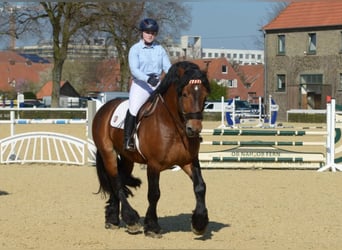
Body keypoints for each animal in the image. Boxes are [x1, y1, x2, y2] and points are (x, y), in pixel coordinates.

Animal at [93, 60, 211, 238]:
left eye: (204, 96)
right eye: (184, 94)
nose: (194, 129)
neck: (173, 125)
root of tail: (104, 108)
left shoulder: (189, 161)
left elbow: (200, 187)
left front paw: (199, 223)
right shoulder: (154, 165)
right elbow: (154, 194)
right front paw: (152, 227)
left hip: (127, 158)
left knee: (119, 179)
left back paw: (113, 219)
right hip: (108, 153)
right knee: (116, 181)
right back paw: (131, 220)